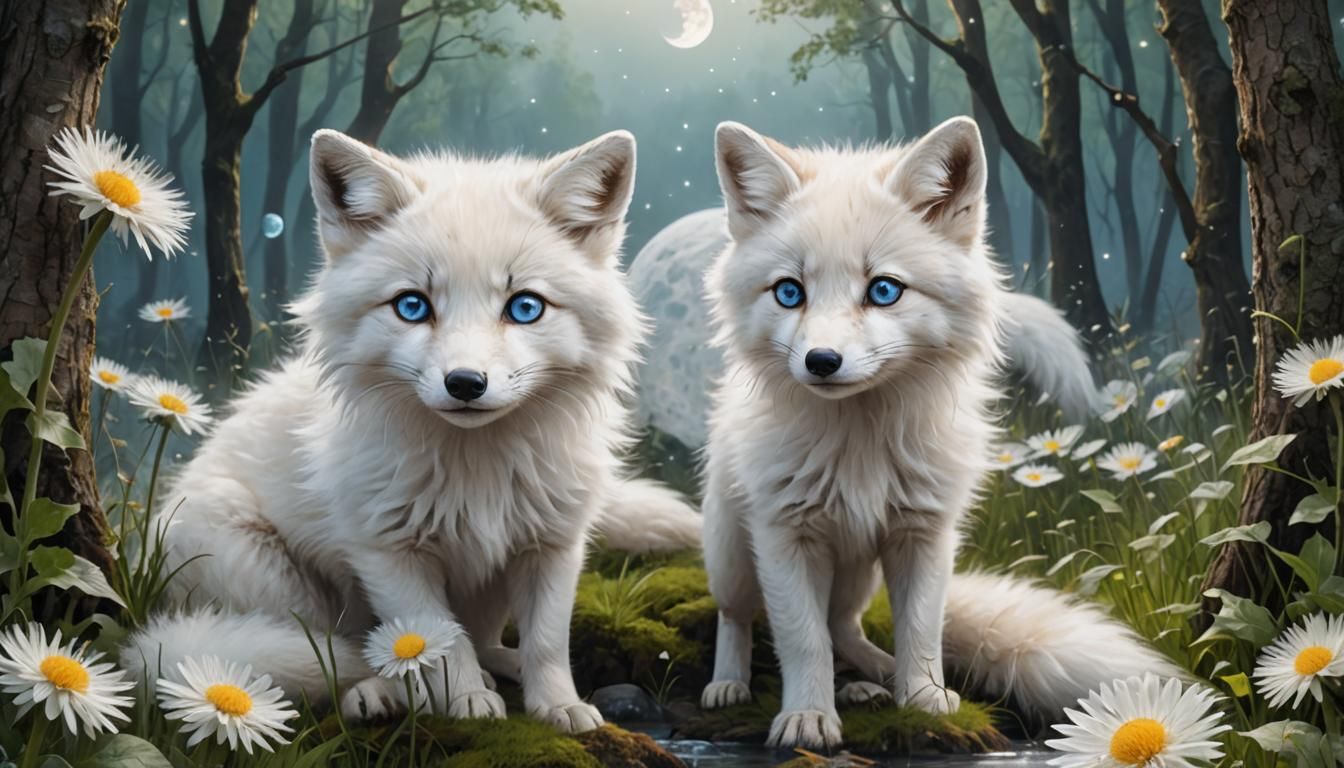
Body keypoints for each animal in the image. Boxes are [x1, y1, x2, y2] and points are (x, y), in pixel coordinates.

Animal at [122, 128, 700, 733]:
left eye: (524, 307)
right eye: (412, 306)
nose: (466, 383)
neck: (478, 470)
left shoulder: (552, 545)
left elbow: (546, 642)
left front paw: (558, 707)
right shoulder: (387, 552)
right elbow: (439, 643)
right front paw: (467, 703)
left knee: (481, 640)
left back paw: (496, 666)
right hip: (266, 573)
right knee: (334, 656)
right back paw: (383, 692)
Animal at [696, 117, 1180, 749]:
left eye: (883, 290)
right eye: (789, 292)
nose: (821, 362)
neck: (860, 449)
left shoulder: (923, 534)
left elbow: (921, 631)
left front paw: (924, 701)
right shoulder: (785, 536)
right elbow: (803, 641)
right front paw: (807, 718)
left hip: (856, 570)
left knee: (844, 625)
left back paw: (875, 677)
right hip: (732, 552)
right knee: (740, 616)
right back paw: (729, 683)